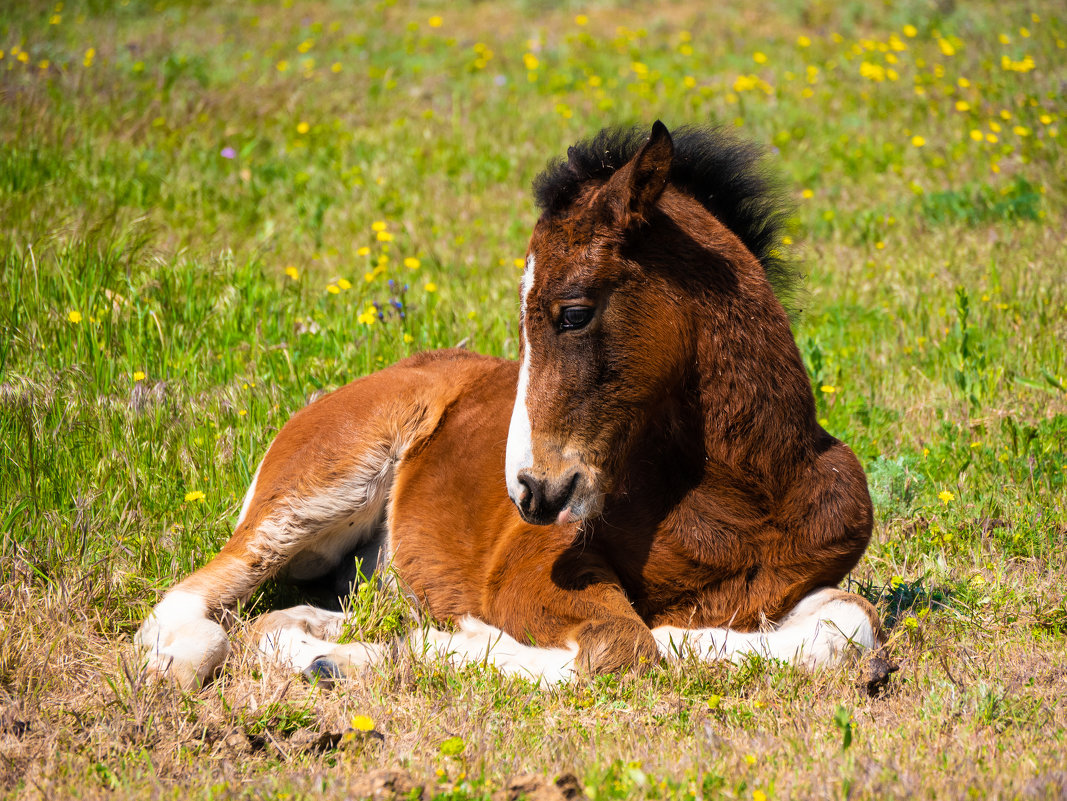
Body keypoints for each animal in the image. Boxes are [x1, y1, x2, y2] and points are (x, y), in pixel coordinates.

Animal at [135, 120, 883, 691]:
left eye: (572, 313)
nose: (527, 489)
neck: (742, 501)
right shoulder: (530, 570)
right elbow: (621, 646)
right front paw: (440, 642)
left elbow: (848, 624)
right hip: (320, 484)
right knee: (201, 586)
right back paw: (197, 655)